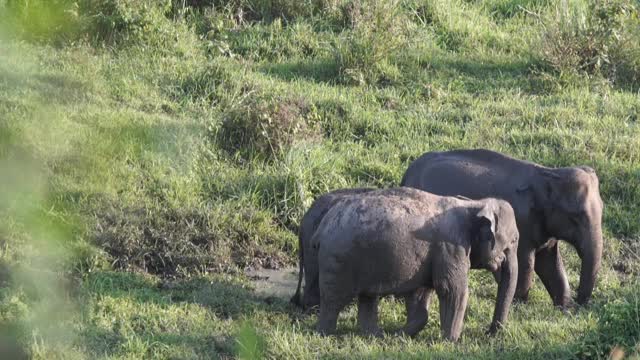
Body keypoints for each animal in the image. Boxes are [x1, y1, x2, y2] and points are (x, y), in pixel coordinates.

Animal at [316, 187, 520, 342]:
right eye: (514, 240)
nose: (488, 333)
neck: (473, 205)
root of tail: (324, 222)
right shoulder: (450, 247)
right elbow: (452, 290)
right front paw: (451, 342)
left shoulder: (430, 257)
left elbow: (420, 294)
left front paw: (399, 336)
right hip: (337, 261)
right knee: (333, 300)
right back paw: (324, 334)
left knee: (368, 297)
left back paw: (375, 335)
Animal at [400, 149, 604, 306]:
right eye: (575, 217)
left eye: (602, 209)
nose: (579, 304)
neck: (547, 174)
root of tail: (407, 174)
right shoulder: (523, 223)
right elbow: (526, 263)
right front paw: (519, 303)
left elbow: (549, 263)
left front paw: (564, 307)